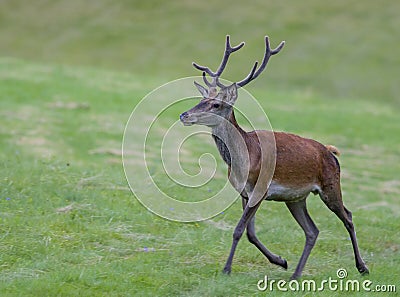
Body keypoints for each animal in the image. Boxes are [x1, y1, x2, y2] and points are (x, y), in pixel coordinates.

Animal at [180, 35, 370, 278]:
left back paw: (362, 267)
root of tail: (330, 152)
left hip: (330, 185)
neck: (244, 160)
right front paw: (281, 261)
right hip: (296, 198)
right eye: (201, 99)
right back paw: (295, 274)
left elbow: (239, 230)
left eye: (216, 104)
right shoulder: (244, 192)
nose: (184, 115)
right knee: (312, 230)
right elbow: (250, 233)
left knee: (348, 216)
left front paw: (226, 269)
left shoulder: (261, 189)